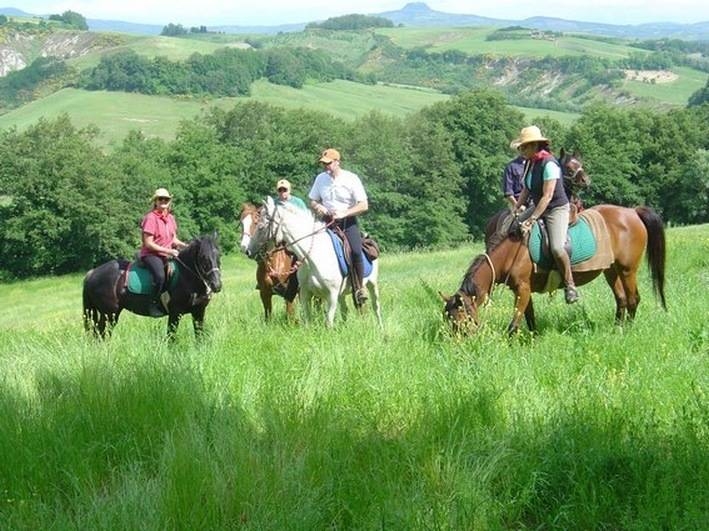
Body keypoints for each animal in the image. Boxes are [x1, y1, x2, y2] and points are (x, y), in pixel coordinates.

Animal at [80, 236, 220, 340]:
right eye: (203, 257)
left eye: (219, 255)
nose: (216, 285)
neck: (186, 276)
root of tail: (92, 273)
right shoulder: (175, 313)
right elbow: (171, 337)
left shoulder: (199, 311)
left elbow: (199, 336)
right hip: (109, 314)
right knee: (101, 333)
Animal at [248, 196, 384, 328]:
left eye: (260, 227)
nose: (249, 251)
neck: (313, 258)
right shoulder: (305, 294)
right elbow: (308, 322)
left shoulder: (331, 296)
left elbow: (328, 323)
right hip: (342, 293)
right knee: (344, 309)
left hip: (372, 284)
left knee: (375, 306)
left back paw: (380, 328)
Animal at [440, 206, 668, 334]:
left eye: (460, 321)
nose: (458, 346)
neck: (512, 251)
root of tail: (633, 212)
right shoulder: (522, 290)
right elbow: (529, 317)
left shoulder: (522, 289)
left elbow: (514, 324)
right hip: (611, 270)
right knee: (621, 299)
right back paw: (617, 329)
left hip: (628, 270)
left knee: (633, 299)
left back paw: (627, 330)